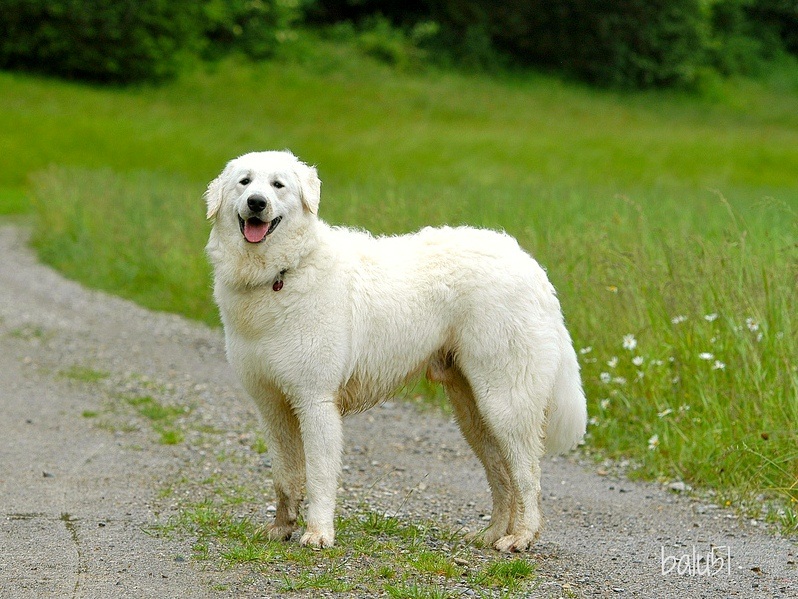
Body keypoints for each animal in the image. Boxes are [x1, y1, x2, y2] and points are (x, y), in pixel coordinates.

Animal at [205, 151, 588, 552]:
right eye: (245, 182)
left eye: (278, 185)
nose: (256, 204)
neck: (282, 272)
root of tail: (531, 266)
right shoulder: (270, 406)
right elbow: (284, 476)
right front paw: (281, 527)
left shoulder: (315, 402)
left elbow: (320, 476)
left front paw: (318, 533)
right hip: (473, 412)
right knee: (502, 475)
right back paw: (491, 534)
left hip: (505, 404)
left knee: (528, 475)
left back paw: (520, 538)